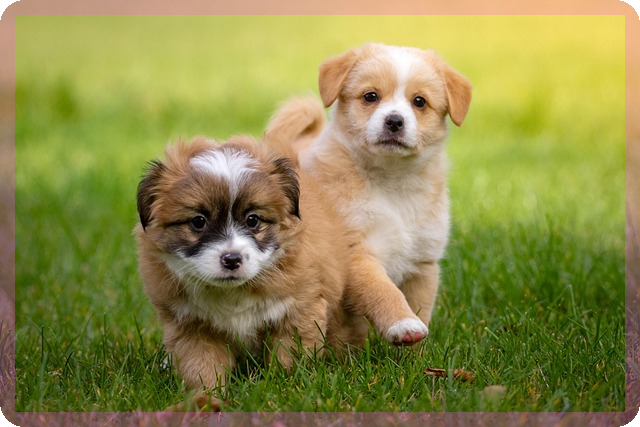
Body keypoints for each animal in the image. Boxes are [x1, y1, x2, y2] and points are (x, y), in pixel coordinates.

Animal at [134, 135, 368, 390]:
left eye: (253, 219)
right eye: (198, 221)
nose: (231, 259)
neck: (234, 293)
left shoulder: (299, 311)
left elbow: (288, 358)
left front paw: (283, 385)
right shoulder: (191, 326)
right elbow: (201, 366)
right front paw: (207, 395)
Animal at [266, 42, 472, 340]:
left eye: (419, 101)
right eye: (371, 96)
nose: (395, 121)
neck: (392, 184)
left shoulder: (422, 263)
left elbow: (421, 308)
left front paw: (418, 349)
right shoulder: (356, 254)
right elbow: (382, 291)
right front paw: (403, 323)